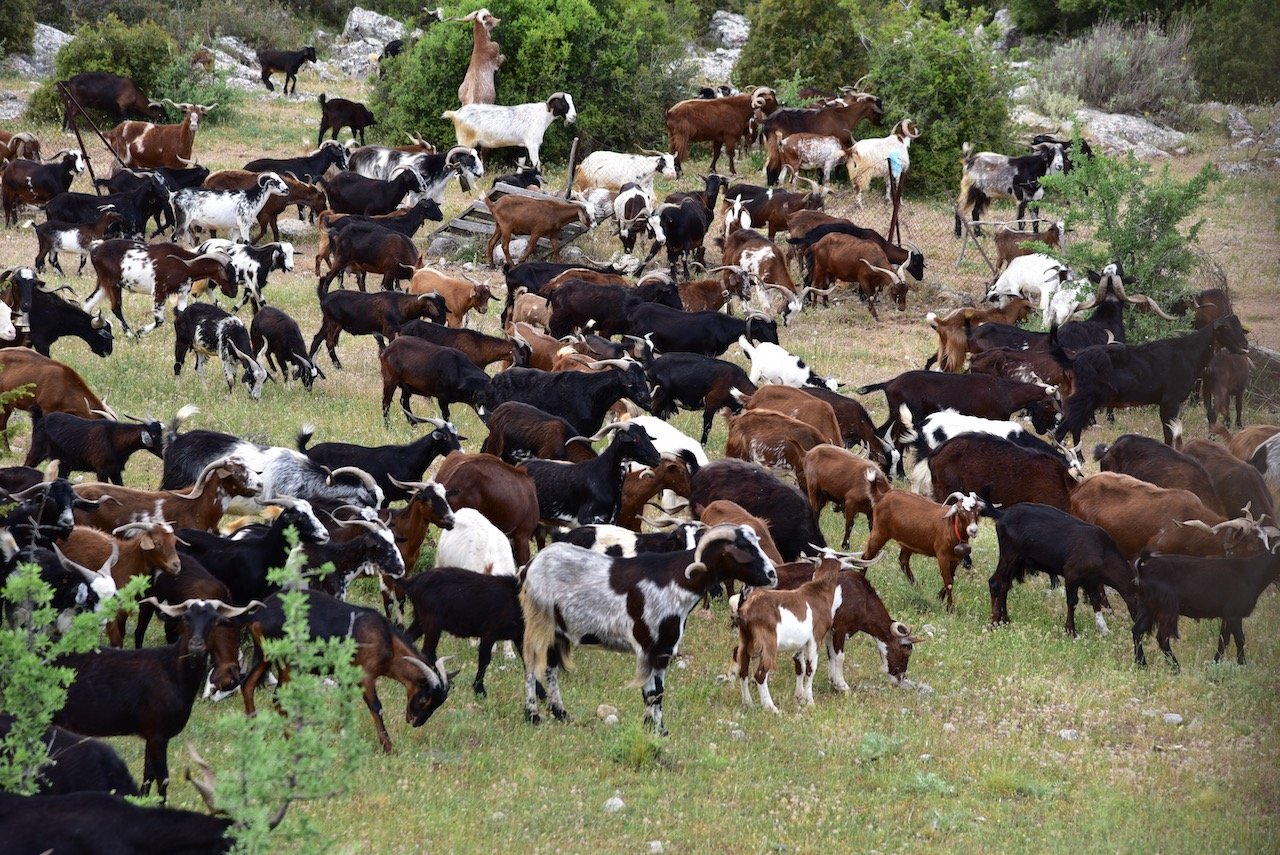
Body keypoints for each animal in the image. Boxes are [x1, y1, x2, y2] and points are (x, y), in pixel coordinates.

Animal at [442, 93, 578, 168]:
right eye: (563, 103)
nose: (574, 116)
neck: (542, 115)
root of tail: (455, 114)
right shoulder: (532, 144)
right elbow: (537, 163)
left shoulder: (522, 145)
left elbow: (522, 161)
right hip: (465, 141)